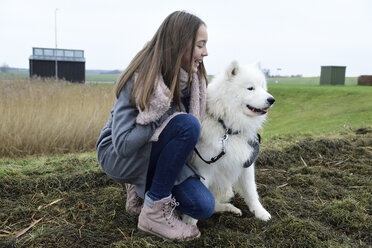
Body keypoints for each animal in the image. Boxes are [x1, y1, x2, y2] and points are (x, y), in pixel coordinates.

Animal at [185, 60, 274, 225]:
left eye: (262, 87)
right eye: (250, 88)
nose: (271, 100)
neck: (228, 128)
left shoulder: (246, 165)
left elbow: (251, 191)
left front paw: (260, 212)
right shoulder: (204, 170)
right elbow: (201, 203)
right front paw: (189, 225)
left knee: (215, 205)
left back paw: (230, 209)